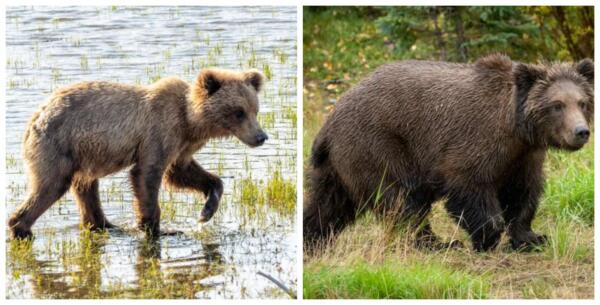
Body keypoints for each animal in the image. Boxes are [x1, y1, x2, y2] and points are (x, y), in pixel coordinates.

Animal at [7, 67, 268, 239]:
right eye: (238, 112)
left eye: (254, 109)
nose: (261, 137)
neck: (189, 121)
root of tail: (34, 118)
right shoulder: (159, 133)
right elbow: (147, 175)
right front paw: (156, 227)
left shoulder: (181, 146)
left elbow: (182, 173)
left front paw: (206, 211)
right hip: (57, 145)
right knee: (50, 186)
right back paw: (20, 227)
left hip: (83, 153)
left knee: (86, 188)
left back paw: (104, 225)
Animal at [308, 54, 592, 252]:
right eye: (557, 105)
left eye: (582, 102)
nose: (581, 131)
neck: (516, 128)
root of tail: (330, 121)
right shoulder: (476, 144)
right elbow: (469, 185)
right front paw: (486, 238)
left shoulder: (523, 158)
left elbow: (523, 194)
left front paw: (532, 238)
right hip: (378, 147)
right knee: (401, 200)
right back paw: (436, 243)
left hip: (338, 164)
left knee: (328, 205)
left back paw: (313, 241)